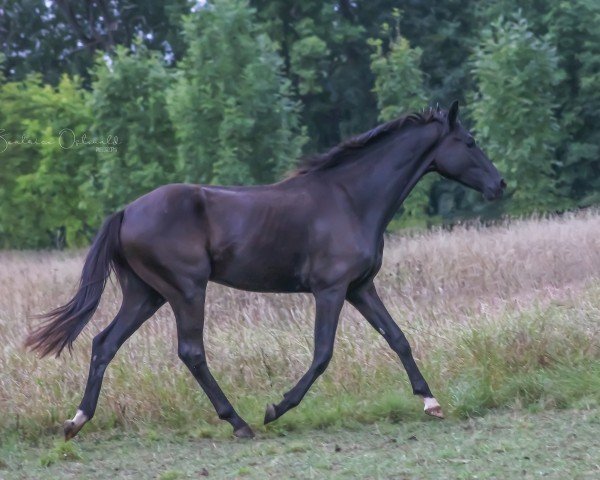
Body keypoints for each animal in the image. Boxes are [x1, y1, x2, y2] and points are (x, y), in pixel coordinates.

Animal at [28, 101, 506, 438]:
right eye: (469, 142)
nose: (500, 184)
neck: (351, 198)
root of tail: (126, 211)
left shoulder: (360, 288)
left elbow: (398, 338)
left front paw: (431, 402)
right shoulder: (330, 289)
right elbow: (322, 353)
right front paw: (276, 408)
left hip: (146, 294)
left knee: (104, 343)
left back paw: (76, 421)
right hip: (185, 289)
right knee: (190, 352)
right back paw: (240, 423)